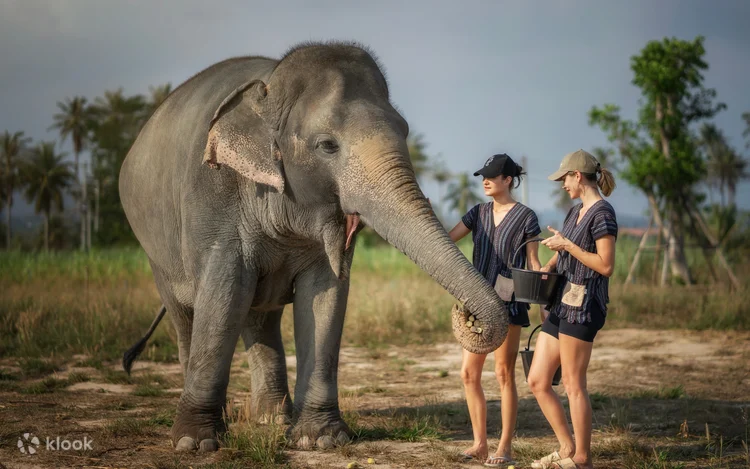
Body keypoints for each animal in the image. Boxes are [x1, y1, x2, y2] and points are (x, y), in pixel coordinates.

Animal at [118, 41, 508, 452]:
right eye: (327, 146)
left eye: (404, 130)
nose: (469, 314)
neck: (270, 87)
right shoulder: (212, 197)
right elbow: (223, 295)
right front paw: (196, 444)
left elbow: (325, 296)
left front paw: (321, 440)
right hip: (156, 250)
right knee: (188, 316)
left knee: (259, 316)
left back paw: (273, 420)